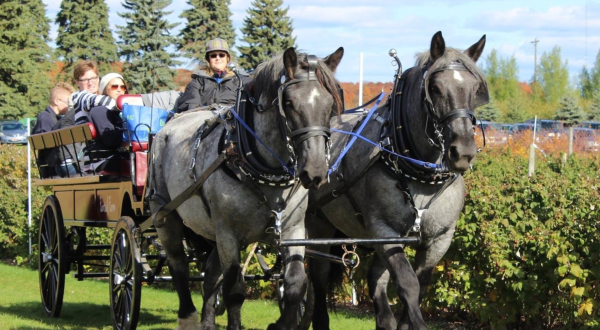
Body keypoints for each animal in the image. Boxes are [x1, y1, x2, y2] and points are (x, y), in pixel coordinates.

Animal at [148, 47, 344, 330]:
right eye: (289, 103)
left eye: (330, 105)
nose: (315, 171)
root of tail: (165, 129)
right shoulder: (229, 235)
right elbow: (234, 290)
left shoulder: (294, 230)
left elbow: (295, 285)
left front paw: (280, 324)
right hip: (166, 215)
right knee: (179, 266)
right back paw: (188, 316)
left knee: (210, 274)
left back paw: (207, 321)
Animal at [304, 31, 488, 330]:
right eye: (435, 88)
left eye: (475, 89)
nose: (463, 152)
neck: (418, 174)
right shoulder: (383, 231)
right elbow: (407, 284)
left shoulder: (439, 239)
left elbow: (419, 287)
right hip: (317, 223)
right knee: (317, 280)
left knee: (375, 280)